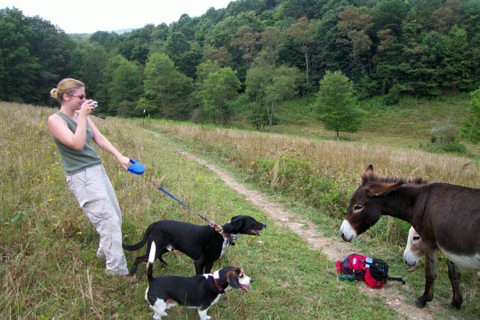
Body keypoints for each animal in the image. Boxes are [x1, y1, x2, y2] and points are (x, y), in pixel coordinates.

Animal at [123, 215, 266, 276]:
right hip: (155, 249)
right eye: (253, 222)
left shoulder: (210, 262)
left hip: (163, 249)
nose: (265, 224)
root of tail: (153, 224)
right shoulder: (199, 262)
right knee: (139, 258)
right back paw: (132, 273)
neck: (223, 234)